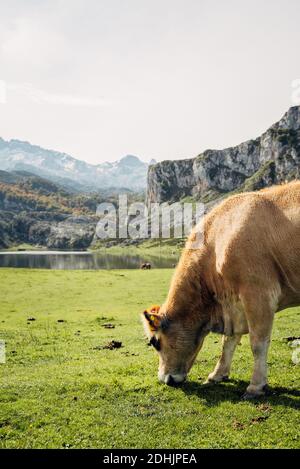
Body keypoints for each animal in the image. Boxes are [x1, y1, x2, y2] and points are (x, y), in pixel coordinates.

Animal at [142, 181, 300, 396]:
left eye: (155, 342)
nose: (166, 379)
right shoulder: (235, 304)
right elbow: (229, 341)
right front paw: (217, 374)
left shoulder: (258, 292)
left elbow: (258, 343)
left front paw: (256, 386)